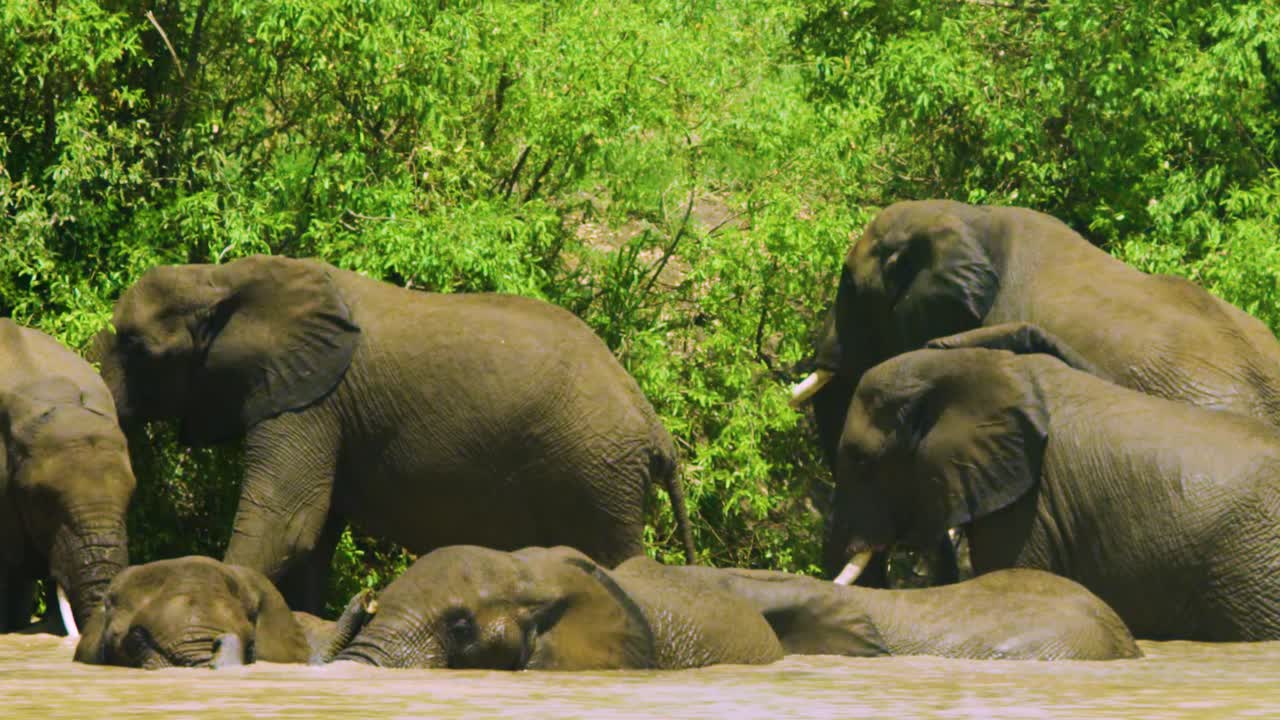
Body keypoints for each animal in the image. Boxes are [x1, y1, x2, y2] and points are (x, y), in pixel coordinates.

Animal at [90, 254, 695, 613]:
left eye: (138, 348)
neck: (223, 278)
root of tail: (655, 428)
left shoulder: (313, 401)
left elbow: (287, 520)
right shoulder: (324, 409)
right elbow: (312, 535)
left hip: (597, 475)